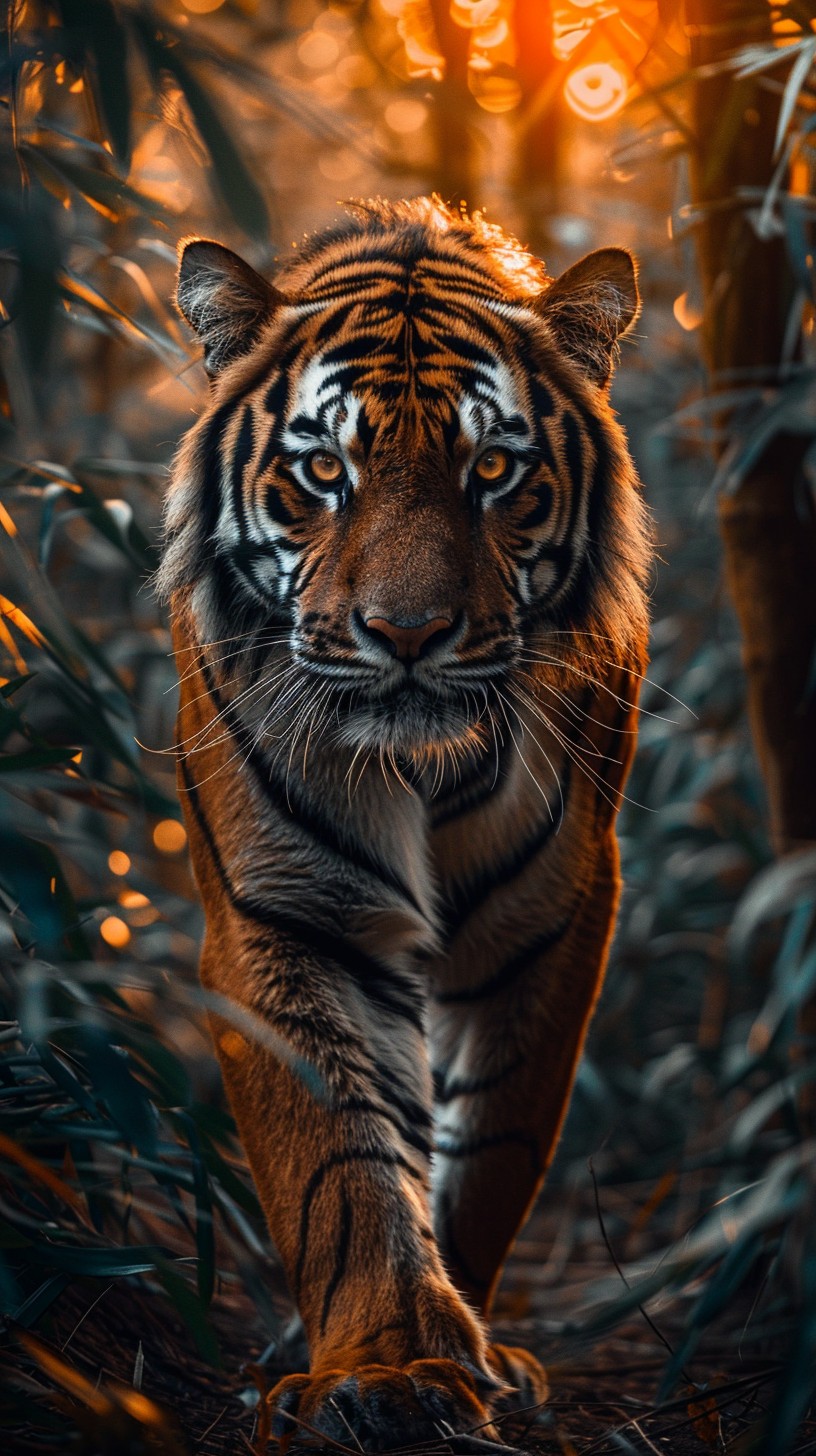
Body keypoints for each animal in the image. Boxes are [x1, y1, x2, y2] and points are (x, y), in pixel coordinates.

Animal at [160, 196, 651, 1452]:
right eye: (324, 471)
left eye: (495, 470)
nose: (409, 633)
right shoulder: (285, 917)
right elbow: (340, 1160)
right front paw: (387, 1364)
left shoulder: (555, 917)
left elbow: (493, 1148)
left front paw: (464, 1342)